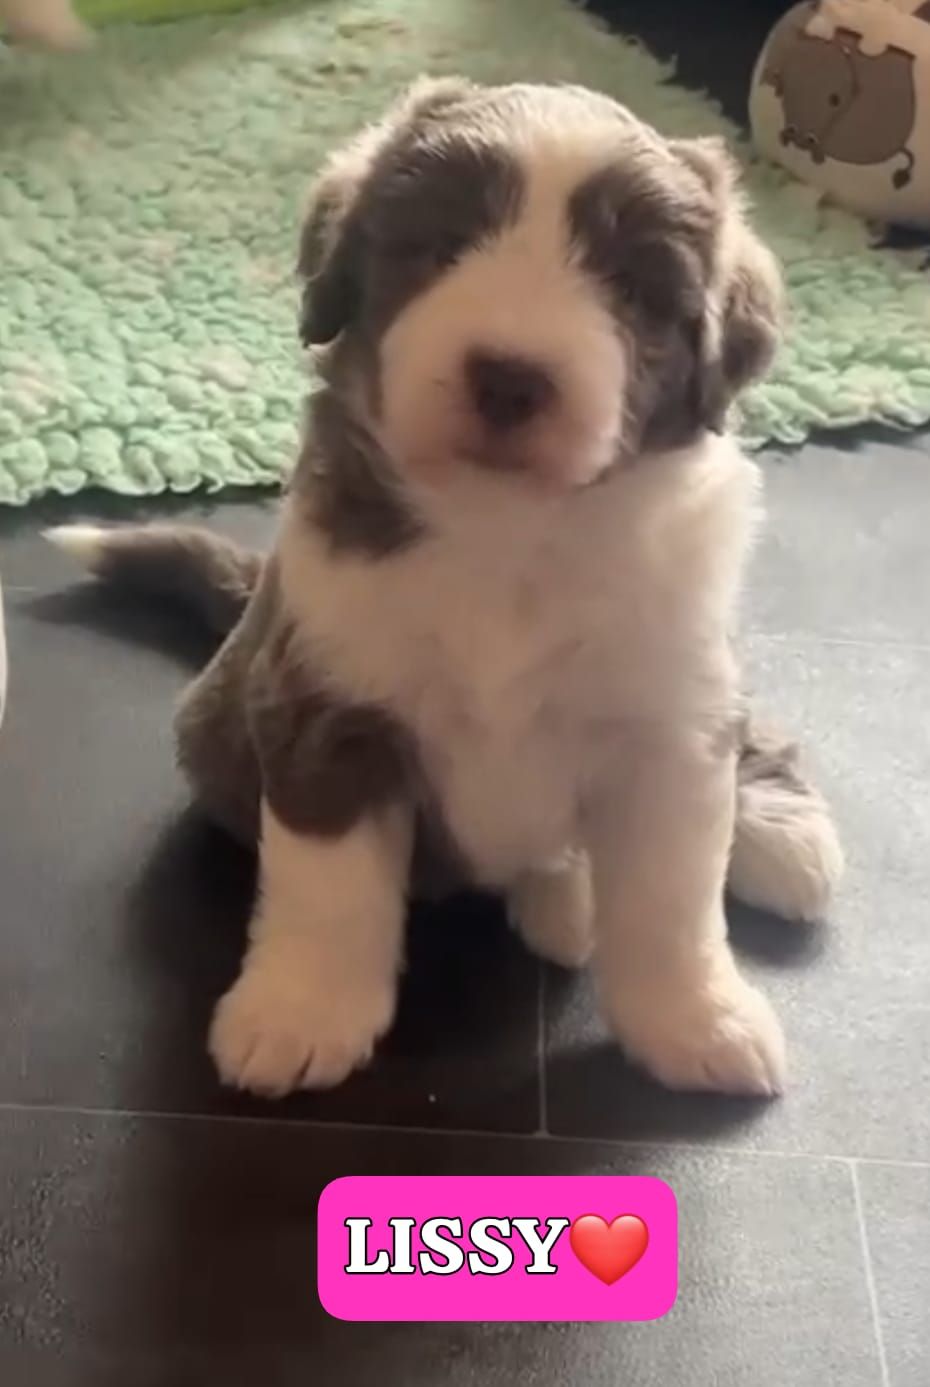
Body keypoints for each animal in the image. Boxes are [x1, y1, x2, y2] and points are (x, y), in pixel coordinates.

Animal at [49, 79, 843, 1100]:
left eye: (631, 289)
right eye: (438, 247)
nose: (510, 377)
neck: (507, 531)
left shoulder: (669, 722)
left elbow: (672, 898)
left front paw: (699, 1022)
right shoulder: (327, 709)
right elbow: (328, 886)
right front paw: (298, 1015)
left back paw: (780, 835)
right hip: (214, 729)